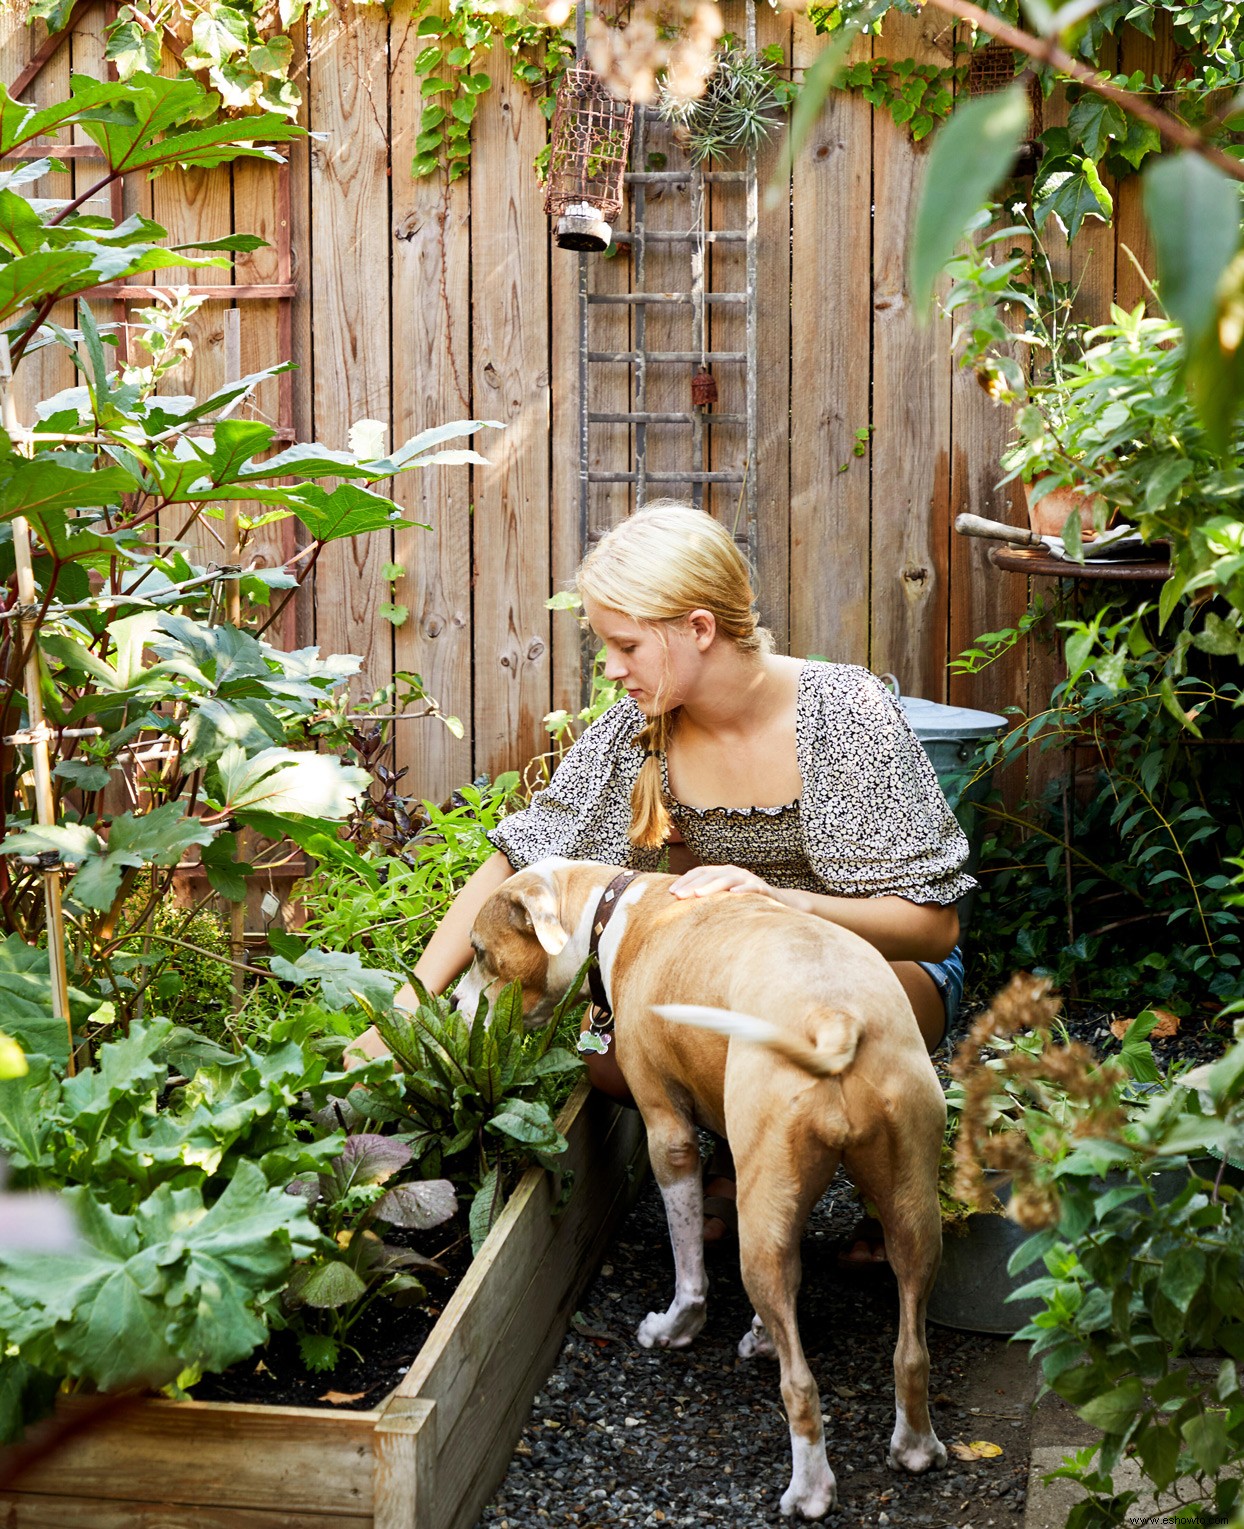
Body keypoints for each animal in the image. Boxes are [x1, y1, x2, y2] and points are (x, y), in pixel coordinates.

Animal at [452, 862, 947, 1516]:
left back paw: (809, 1491)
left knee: (800, 1384)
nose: (450, 1003)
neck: (614, 911)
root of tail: (834, 1017)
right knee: (910, 1349)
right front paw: (763, 1331)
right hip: (910, 1210)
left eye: (480, 953)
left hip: (766, 1231)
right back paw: (915, 1448)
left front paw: (675, 1328)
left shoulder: (669, 1135)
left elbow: (688, 1261)